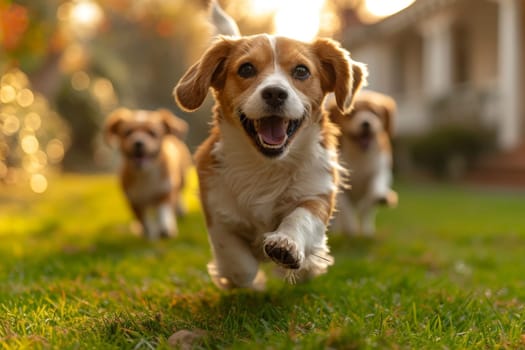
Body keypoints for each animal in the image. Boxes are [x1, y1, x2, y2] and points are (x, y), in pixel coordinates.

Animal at [103, 108, 191, 239]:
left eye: (152, 133)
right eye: (128, 132)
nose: (138, 142)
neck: (145, 173)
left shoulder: (165, 190)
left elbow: (163, 210)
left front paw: (165, 229)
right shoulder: (134, 200)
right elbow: (143, 219)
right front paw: (149, 233)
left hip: (182, 179)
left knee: (178, 195)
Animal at [328, 90, 398, 237]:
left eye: (375, 112)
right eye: (351, 113)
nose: (366, 123)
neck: (360, 154)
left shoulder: (381, 169)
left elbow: (375, 187)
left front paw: (380, 196)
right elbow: (346, 209)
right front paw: (351, 230)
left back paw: (367, 231)